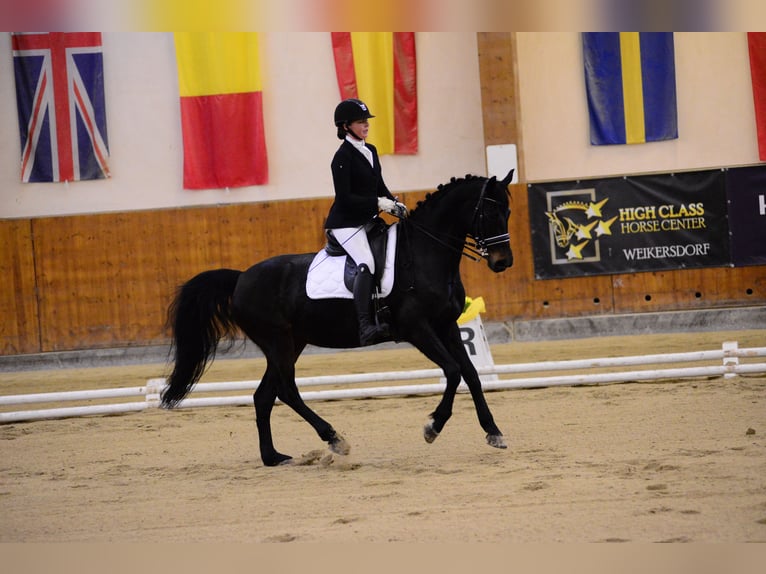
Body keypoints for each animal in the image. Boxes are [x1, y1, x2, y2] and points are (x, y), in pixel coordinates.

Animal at [161, 170, 515, 466]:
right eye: (488, 213)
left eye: (508, 212)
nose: (503, 262)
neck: (425, 254)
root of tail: (240, 279)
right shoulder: (417, 328)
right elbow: (453, 371)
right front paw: (432, 426)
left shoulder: (447, 326)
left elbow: (471, 374)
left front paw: (493, 432)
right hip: (277, 342)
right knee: (286, 391)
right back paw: (334, 439)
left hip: (291, 343)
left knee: (264, 396)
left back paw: (273, 457)